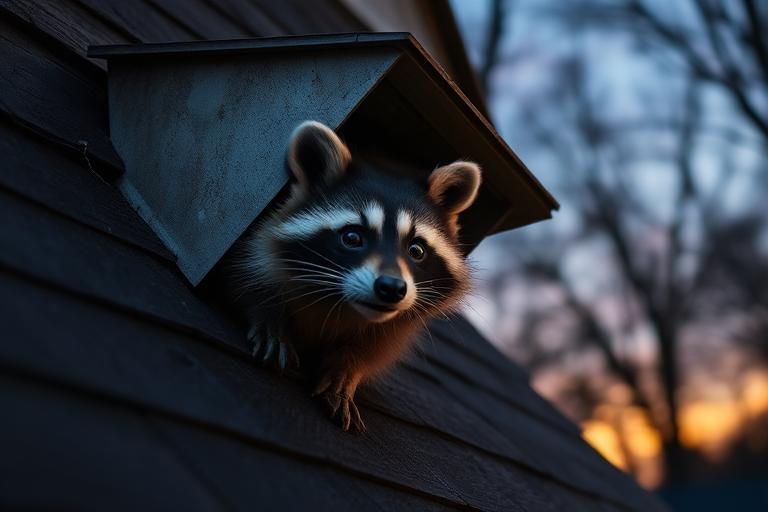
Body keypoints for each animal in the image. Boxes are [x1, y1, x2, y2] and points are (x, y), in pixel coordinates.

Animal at [230, 121, 481, 433]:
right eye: (352, 237)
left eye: (416, 250)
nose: (391, 288)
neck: (339, 302)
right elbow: (252, 277)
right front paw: (269, 317)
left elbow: (370, 351)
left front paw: (346, 370)